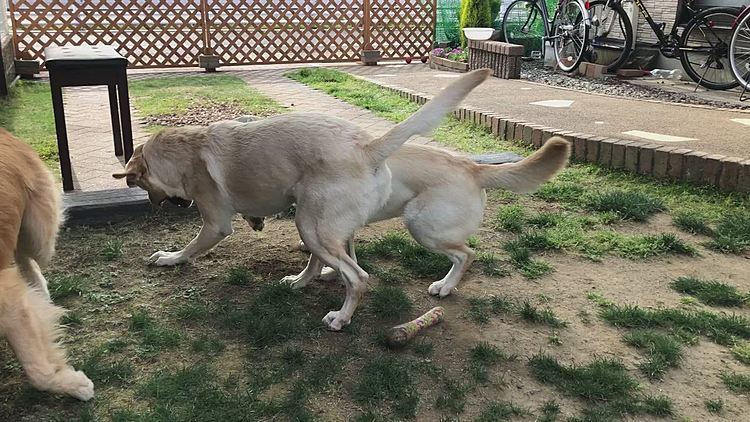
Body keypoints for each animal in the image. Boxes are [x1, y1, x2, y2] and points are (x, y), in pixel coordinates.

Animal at [0, 129, 94, 398]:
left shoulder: (8, 301)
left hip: (38, 232)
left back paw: (38, 292)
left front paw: (73, 385)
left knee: (27, 257)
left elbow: (37, 371)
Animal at [110, 68, 488, 330]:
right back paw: (303, 281)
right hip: (314, 218)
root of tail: (367, 147)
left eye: (145, 186)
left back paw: (341, 317)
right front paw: (255, 220)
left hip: (315, 223)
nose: (153, 204)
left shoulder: (215, 224)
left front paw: (170, 258)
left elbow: (190, 247)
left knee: (359, 276)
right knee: (333, 260)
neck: (188, 148)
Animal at [294, 138, 568, 296]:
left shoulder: (317, 224)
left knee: (466, 254)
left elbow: (316, 259)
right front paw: (330, 274)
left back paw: (445, 287)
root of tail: (474, 168)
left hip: (422, 227)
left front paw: (300, 280)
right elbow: (344, 254)